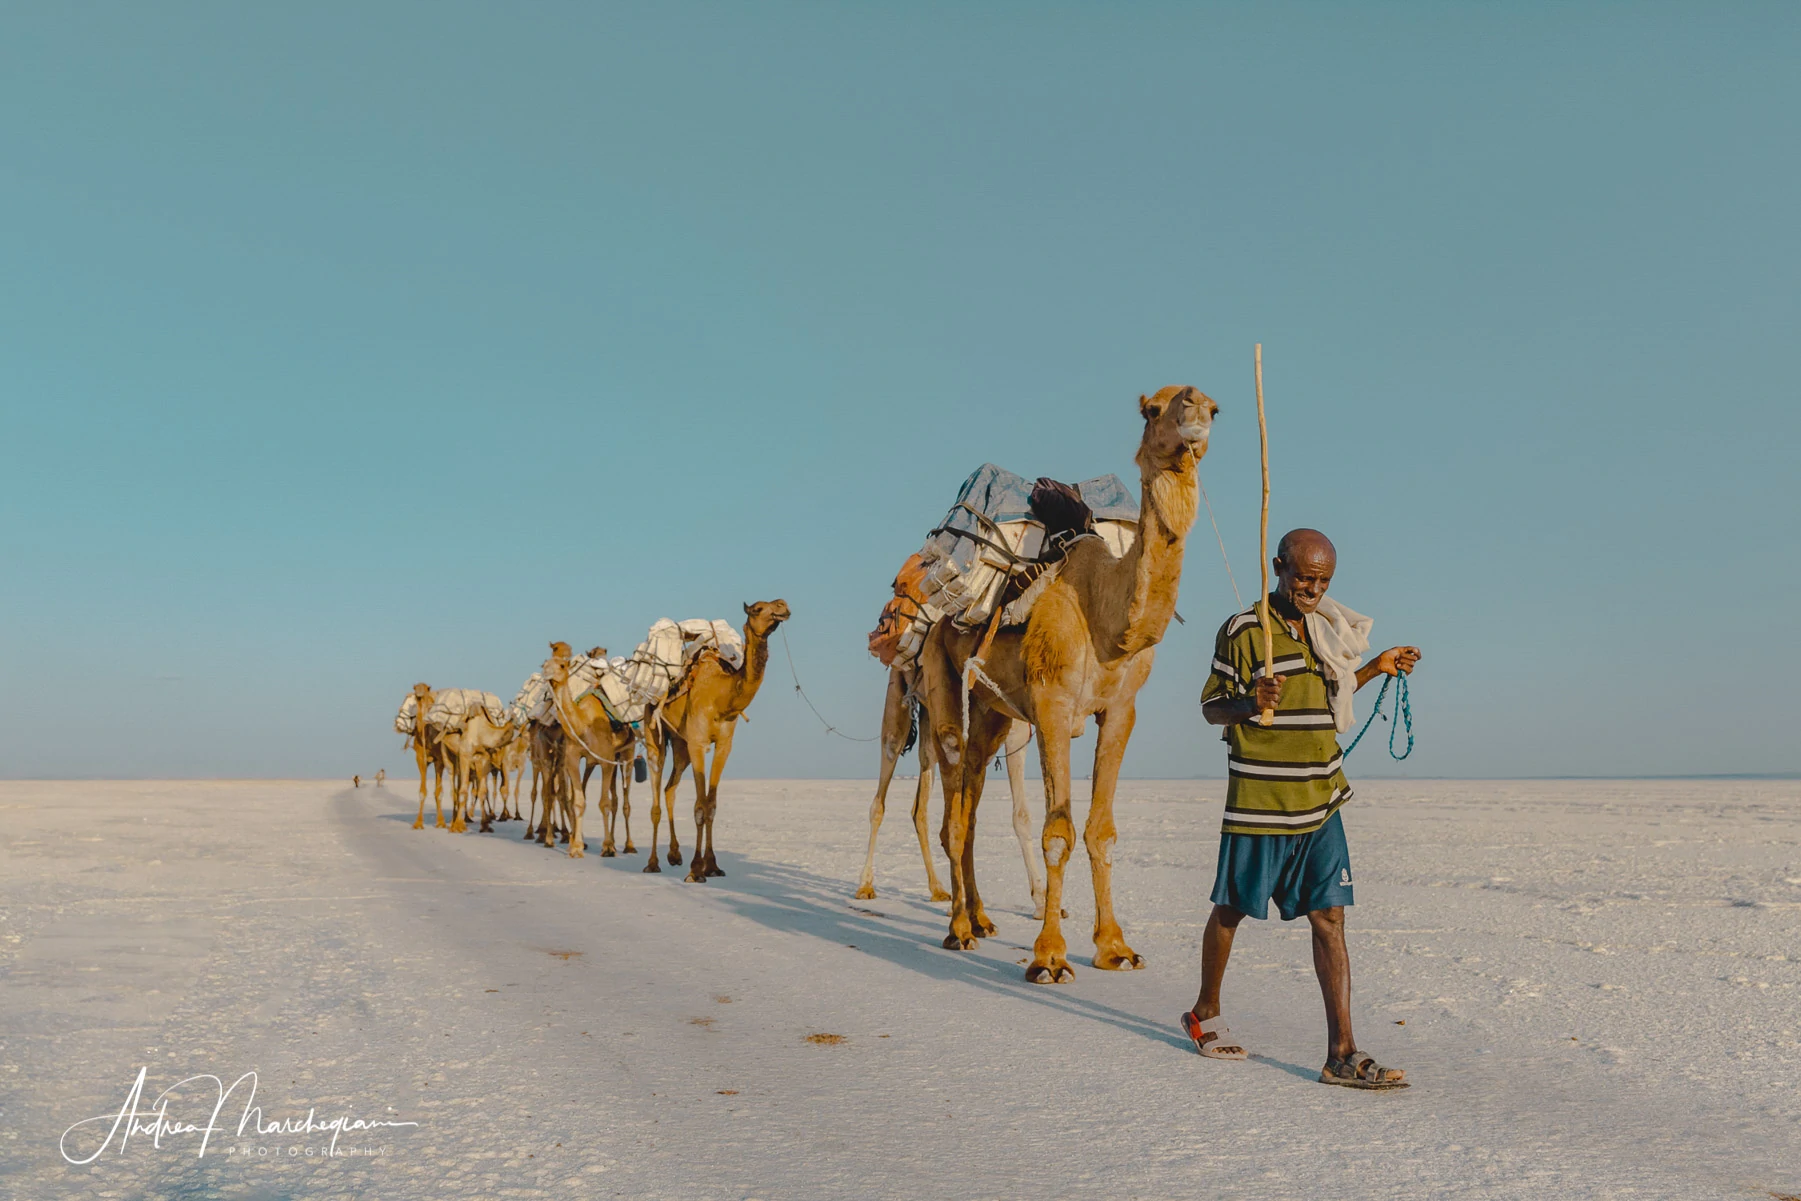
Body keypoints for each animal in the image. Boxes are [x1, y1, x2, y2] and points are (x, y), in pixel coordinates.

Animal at [540, 644, 641, 860]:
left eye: (562, 665)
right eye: (544, 664)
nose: (546, 673)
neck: (583, 724)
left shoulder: (605, 759)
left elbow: (603, 803)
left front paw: (606, 847)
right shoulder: (573, 758)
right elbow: (579, 801)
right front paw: (577, 847)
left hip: (627, 754)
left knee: (625, 802)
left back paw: (628, 846)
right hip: (605, 759)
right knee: (614, 798)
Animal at [644, 601, 792, 882]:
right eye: (757, 609)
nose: (783, 606)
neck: (721, 696)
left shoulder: (723, 744)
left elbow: (711, 805)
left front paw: (711, 866)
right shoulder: (699, 743)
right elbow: (700, 806)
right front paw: (695, 869)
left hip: (680, 744)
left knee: (670, 788)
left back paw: (674, 854)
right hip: (654, 732)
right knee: (656, 792)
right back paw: (652, 862)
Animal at [853, 662, 1051, 914]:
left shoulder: (1016, 731)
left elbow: (1021, 815)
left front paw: (1041, 901)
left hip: (930, 727)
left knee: (919, 808)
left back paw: (937, 889)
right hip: (897, 707)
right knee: (880, 796)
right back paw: (865, 886)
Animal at [922, 390, 1217, 979]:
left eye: (1217, 409)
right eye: (1152, 410)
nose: (1194, 410)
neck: (1105, 619)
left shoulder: (1121, 709)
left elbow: (1102, 830)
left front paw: (1115, 947)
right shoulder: (1052, 703)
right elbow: (1057, 831)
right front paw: (1050, 957)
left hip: (993, 712)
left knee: (970, 795)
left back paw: (981, 919)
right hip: (942, 681)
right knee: (954, 810)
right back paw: (960, 929)